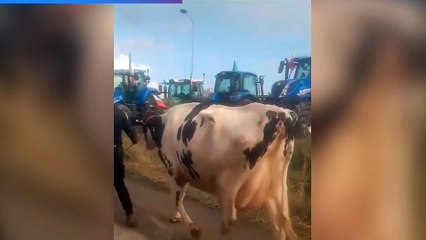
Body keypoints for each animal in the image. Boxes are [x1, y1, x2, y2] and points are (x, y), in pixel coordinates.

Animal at [141, 102, 298, 240]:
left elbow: (176, 199)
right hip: (276, 189)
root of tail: (282, 114)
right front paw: (175, 216)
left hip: (227, 185)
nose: (146, 143)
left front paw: (193, 229)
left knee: (229, 221)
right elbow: (181, 196)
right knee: (279, 227)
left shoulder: (173, 170)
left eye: (144, 127)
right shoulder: (184, 172)